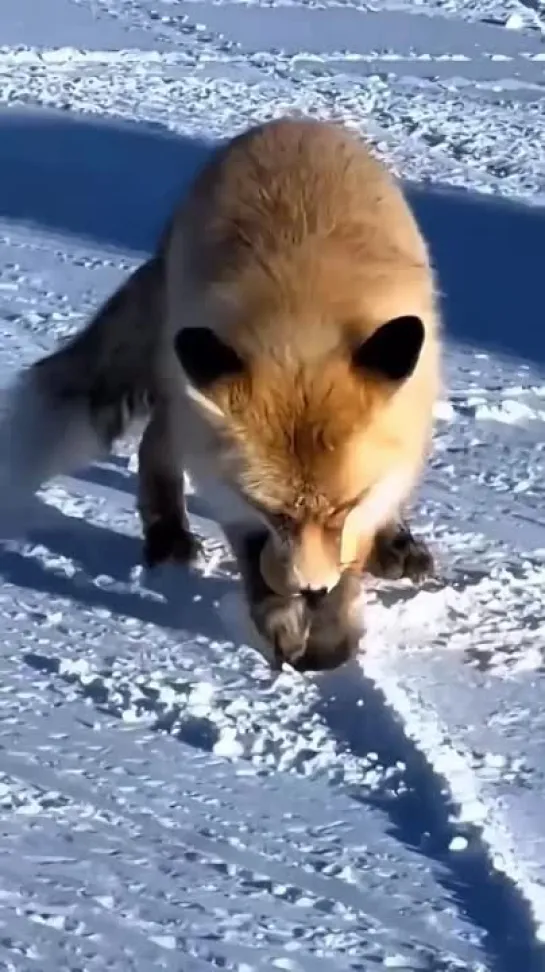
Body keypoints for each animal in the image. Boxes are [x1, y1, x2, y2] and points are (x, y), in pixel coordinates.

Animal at [0, 116, 440, 668]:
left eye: (340, 509)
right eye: (275, 513)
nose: (309, 586)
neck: (301, 319)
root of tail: (294, 122)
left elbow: (354, 550)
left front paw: (331, 630)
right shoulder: (230, 482)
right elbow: (254, 555)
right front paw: (288, 621)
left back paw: (395, 543)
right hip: (184, 381)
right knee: (155, 445)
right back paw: (168, 535)